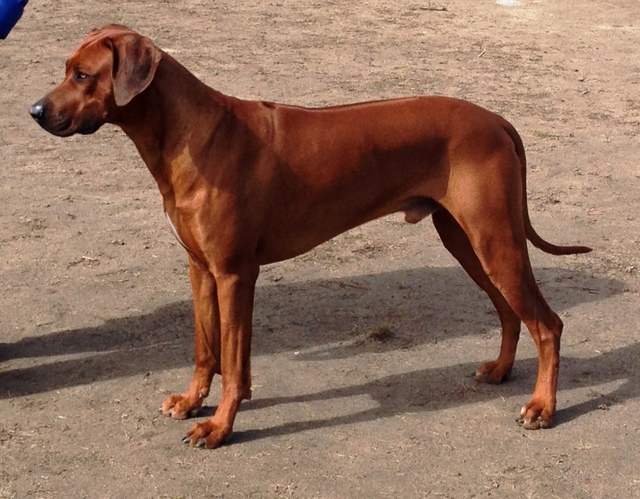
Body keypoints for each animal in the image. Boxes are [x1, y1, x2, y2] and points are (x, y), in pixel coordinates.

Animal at [30, 25, 592, 452]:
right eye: (65, 68)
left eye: (83, 75)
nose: (35, 112)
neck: (190, 135)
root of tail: (496, 119)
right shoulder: (201, 269)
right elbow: (206, 348)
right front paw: (192, 401)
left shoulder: (235, 273)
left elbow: (233, 359)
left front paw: (219, 426)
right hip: (466, 240)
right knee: (509, 312)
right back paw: (500, 371)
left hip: (494, 239)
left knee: (547, 324)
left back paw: (542, 407)